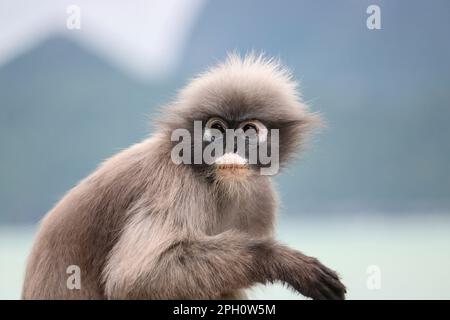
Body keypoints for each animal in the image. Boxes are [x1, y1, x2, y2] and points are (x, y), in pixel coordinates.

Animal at [22, 53, 348, 300]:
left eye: (248, 130)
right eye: (217, 128)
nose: (230, 144)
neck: (215, 181)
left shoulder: (261, 196)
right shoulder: (173, 180)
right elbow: (136, 277)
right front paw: (278, 259)